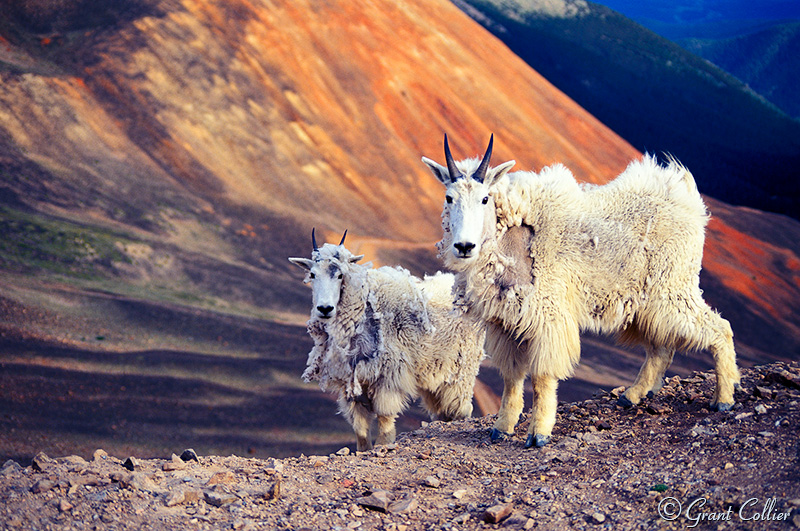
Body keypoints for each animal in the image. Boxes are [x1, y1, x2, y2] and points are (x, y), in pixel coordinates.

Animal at [290, 231, 484, 450]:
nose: (325, 309)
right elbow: (360, 428)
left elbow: (384, 418)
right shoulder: (353, 381)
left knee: (460, 408)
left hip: (462, 369)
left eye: (340, 275)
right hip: (434, 374)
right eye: (312, 275)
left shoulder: (389, 375)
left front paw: (384, 444)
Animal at [422, 134, 740, 448]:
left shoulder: (547, 315)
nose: (464, 246)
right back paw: (633, 395)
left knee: (719, 328)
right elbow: (512, 377)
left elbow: (542, 376)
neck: (509, 238)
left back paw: (724, 398)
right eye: (449, 197)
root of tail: (688, 199)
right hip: (647, 299)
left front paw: (539, 434)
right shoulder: (506, 322)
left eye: (485, 198)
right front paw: (502, 428)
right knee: (661, 345)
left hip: (673, 287)